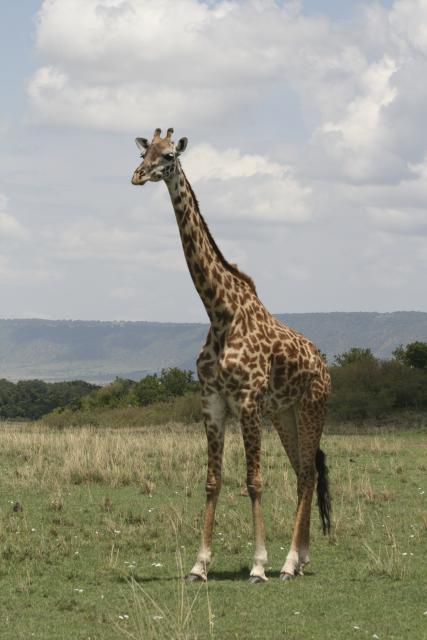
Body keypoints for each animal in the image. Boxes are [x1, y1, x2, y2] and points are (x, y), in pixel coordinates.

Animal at [131, 128, 331, 583]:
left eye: (168, 156)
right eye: (143, 152)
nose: (137, 176)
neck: (220, 312)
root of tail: (324, 364)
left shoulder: (248, 401)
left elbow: (254, 481)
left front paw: (257, 565)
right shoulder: (213, 402)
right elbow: (213, 480)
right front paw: (199, 565)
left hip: (312, 406)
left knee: (307, 473)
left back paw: (287, 563)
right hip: (285, 413)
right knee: (303, 472)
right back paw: (300, 558)